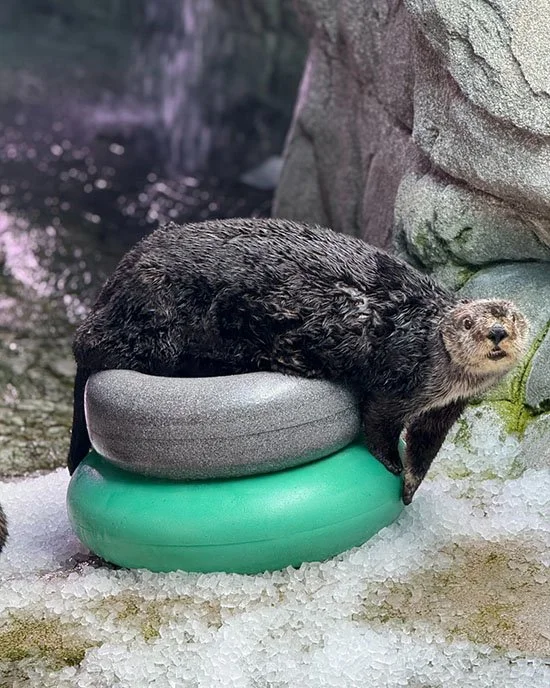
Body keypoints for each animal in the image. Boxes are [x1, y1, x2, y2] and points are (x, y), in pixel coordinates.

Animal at [68, 218, 528, 503]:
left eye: (515, 318)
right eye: (468, 322)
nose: (497, 333)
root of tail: (122, 270)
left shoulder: (443, 409)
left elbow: (424, 444)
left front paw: (411, 487)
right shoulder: (401, 376)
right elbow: (377, 421)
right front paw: (393, 468)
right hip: (154, 329)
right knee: (85, 346)